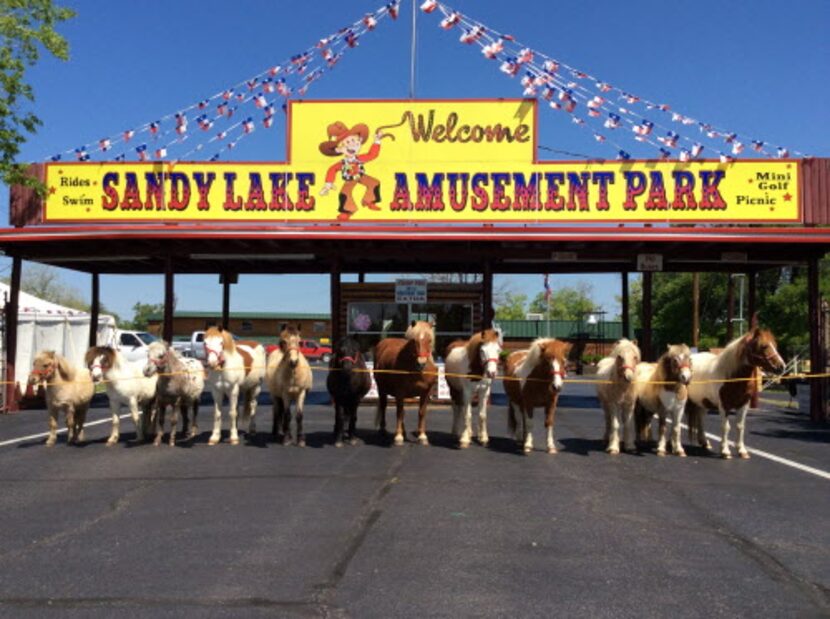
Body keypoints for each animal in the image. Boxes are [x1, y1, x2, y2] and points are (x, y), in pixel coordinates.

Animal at [684, 322, 788, 458]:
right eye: (763, 346)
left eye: (775, 345)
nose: (781, 367)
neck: (731, 376)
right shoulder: (724, 405)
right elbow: (726, 427)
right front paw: (725, 450)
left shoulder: (744, 404)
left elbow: (740, 426)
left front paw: (741, 450)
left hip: (702, 401)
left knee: (701, 417)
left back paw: (704, 442)